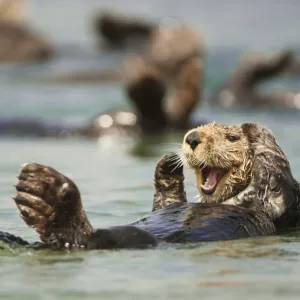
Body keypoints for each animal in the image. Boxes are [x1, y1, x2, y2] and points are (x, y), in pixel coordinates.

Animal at [0, 122, 298, 251]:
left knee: (84, 237)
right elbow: (166, 201)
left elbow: (272, 174)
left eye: (231, 137)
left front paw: (257, 133)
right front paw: (168, 165)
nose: (192, 138)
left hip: (132, 238)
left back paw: (45, 195)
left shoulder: (273, 203)